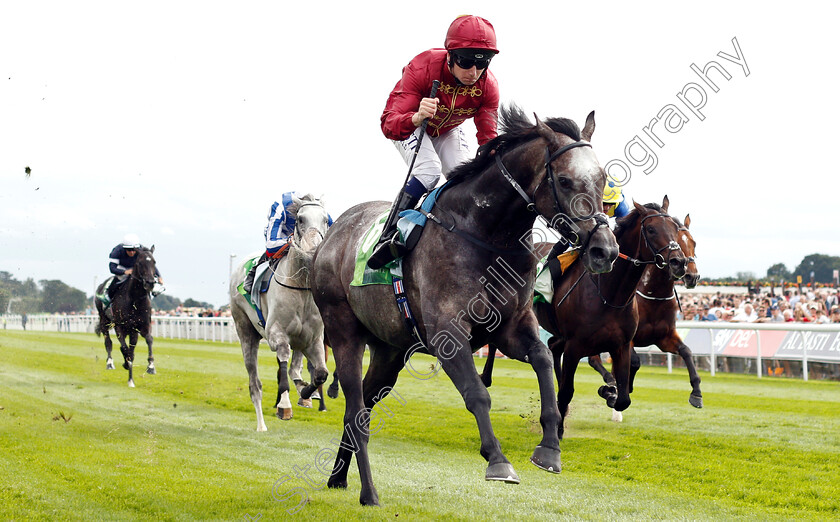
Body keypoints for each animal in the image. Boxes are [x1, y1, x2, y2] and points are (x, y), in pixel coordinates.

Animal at [94, 245, 158, 386]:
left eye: (154, 262)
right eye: (140, 263)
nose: (150, 282)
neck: (134, 299)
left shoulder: (142, 326)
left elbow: (149, 340)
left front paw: (151, 366)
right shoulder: (120, 326)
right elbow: (124, 348)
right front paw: (127, 368)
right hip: (104, 320)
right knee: (108, 342)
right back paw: (110, 363)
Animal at [233, 193, 334, 428]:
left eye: (325, 220)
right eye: (300, 219)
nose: (313, 249)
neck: (302, 287)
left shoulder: (314, 340)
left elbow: (321, 373)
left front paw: (306, 393)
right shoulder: (276, 334)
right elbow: (283, 364)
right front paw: (285, 405)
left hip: (299, 339)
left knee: (295, 367)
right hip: (245, 332)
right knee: (255, 385)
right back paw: (262, 424)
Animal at [312, 104, 620, 504]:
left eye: (601, 178)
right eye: (565, 181)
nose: (605, 250)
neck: (485, 234)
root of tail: (331, 234)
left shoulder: (510, 327)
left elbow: (543, 360)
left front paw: (550, 448)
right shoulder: (449, 333)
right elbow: (477, 394)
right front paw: (498, 460)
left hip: (389, 351)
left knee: (362, 407)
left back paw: (338, 476)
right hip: (344, 332)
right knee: (353, 409)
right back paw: (369, 492)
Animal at [588, 211, 704, 410]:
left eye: (693, 242)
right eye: (677, 242)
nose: (692, 276)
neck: (654, 296)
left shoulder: (664, 337)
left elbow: (687, 351)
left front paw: (696, 393)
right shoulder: (628, 338)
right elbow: (634, 362)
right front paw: (617, 389)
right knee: (593, 359)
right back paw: (609, 381)